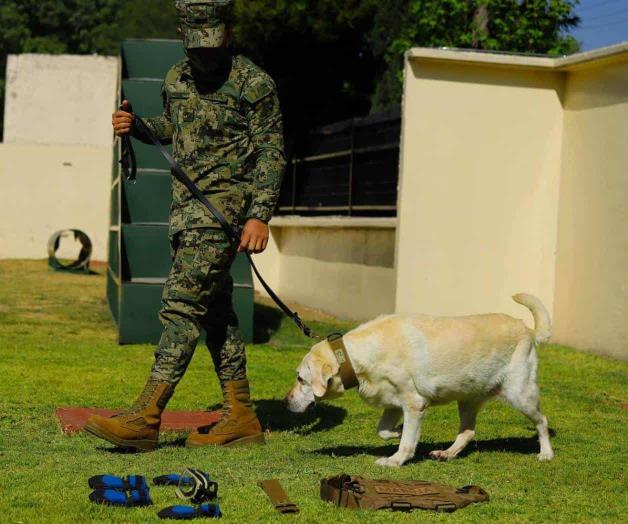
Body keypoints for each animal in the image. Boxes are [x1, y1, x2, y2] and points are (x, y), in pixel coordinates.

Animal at [284, 292, 556, 468]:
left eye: (300, 379)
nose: (285, 402)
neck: (355, 356)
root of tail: (527, 329)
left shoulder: (414, 403)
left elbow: (405, 442)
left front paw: (395, 460)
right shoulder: (393, 404)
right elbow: (383, 430)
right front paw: (399, 431)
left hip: (520, 394)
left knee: (542, 422)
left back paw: (546, 453)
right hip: (467, 397)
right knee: (468, 431)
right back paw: (447, 454)